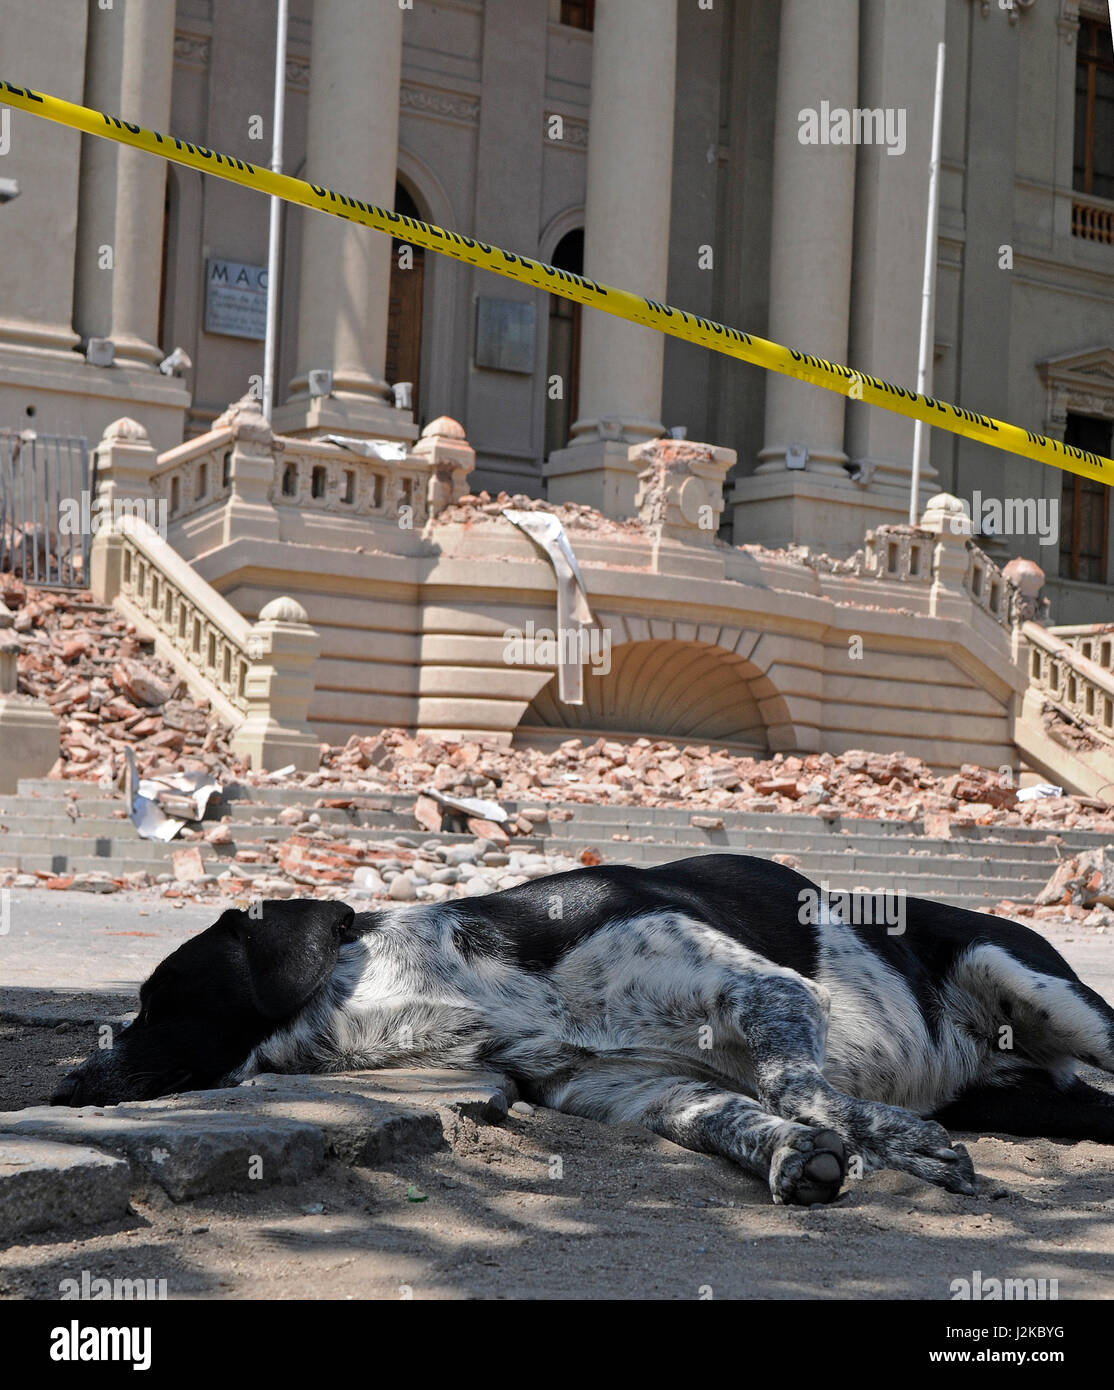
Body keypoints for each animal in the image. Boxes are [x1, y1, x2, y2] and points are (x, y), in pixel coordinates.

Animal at [52, 850, 1114, 1200]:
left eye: (158, 997)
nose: (62, 1082)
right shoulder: (643, 1089)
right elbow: (742, 1116)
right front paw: (795, 1157)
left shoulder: (769, 993)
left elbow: (795, 1083)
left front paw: (893, 1139)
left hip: (1037, 984)